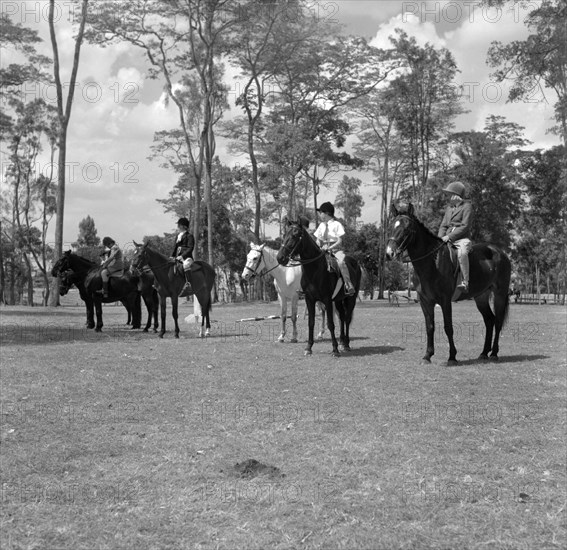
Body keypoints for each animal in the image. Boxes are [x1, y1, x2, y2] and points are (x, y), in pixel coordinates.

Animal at [278, 219, 362, 358]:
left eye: (295, 235)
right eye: (285, 235)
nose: (280, 258)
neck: (315, 269)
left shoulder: (327, 300)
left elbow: (330, 324)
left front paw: (335, 350)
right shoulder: (310, 299)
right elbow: (311, 322)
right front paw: (308, 348)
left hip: (351, 299)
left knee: (347, 318)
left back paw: (346, 344)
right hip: (338, 300)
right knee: (342, 317)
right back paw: (342, 342)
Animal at [386, 204, 516, 366]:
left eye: (407, 228)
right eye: (391, 225)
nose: (389, 253)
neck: (432, 262)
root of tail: (500, 252)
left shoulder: (445, 300)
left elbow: (448, 327)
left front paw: (452, 357)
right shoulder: (425, 301)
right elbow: (430, 327)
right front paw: (427, 355)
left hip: (499, 294)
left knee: (497, 321)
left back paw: (494, 354)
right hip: (481, 297)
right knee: (489, 320)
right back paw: (484, 353)